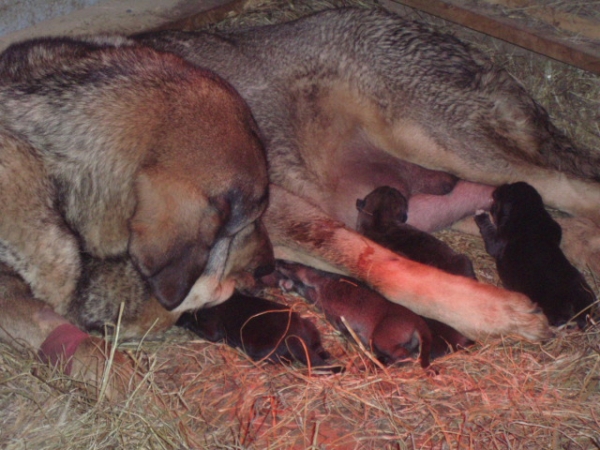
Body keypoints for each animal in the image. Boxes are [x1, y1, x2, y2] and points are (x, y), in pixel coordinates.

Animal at [176, 292, 332, 370]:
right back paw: (326, 355)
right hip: (310, 325)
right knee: (318, 348)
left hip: (259, 349)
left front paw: (182, 319)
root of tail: (293, 336)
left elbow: (194, 324)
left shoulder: (212, 329)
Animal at [476, 182, 596, 326]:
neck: (530, 214)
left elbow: (489, 233)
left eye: (495, 204)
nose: (495, 191)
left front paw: (481, 214)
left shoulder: (498, 240)